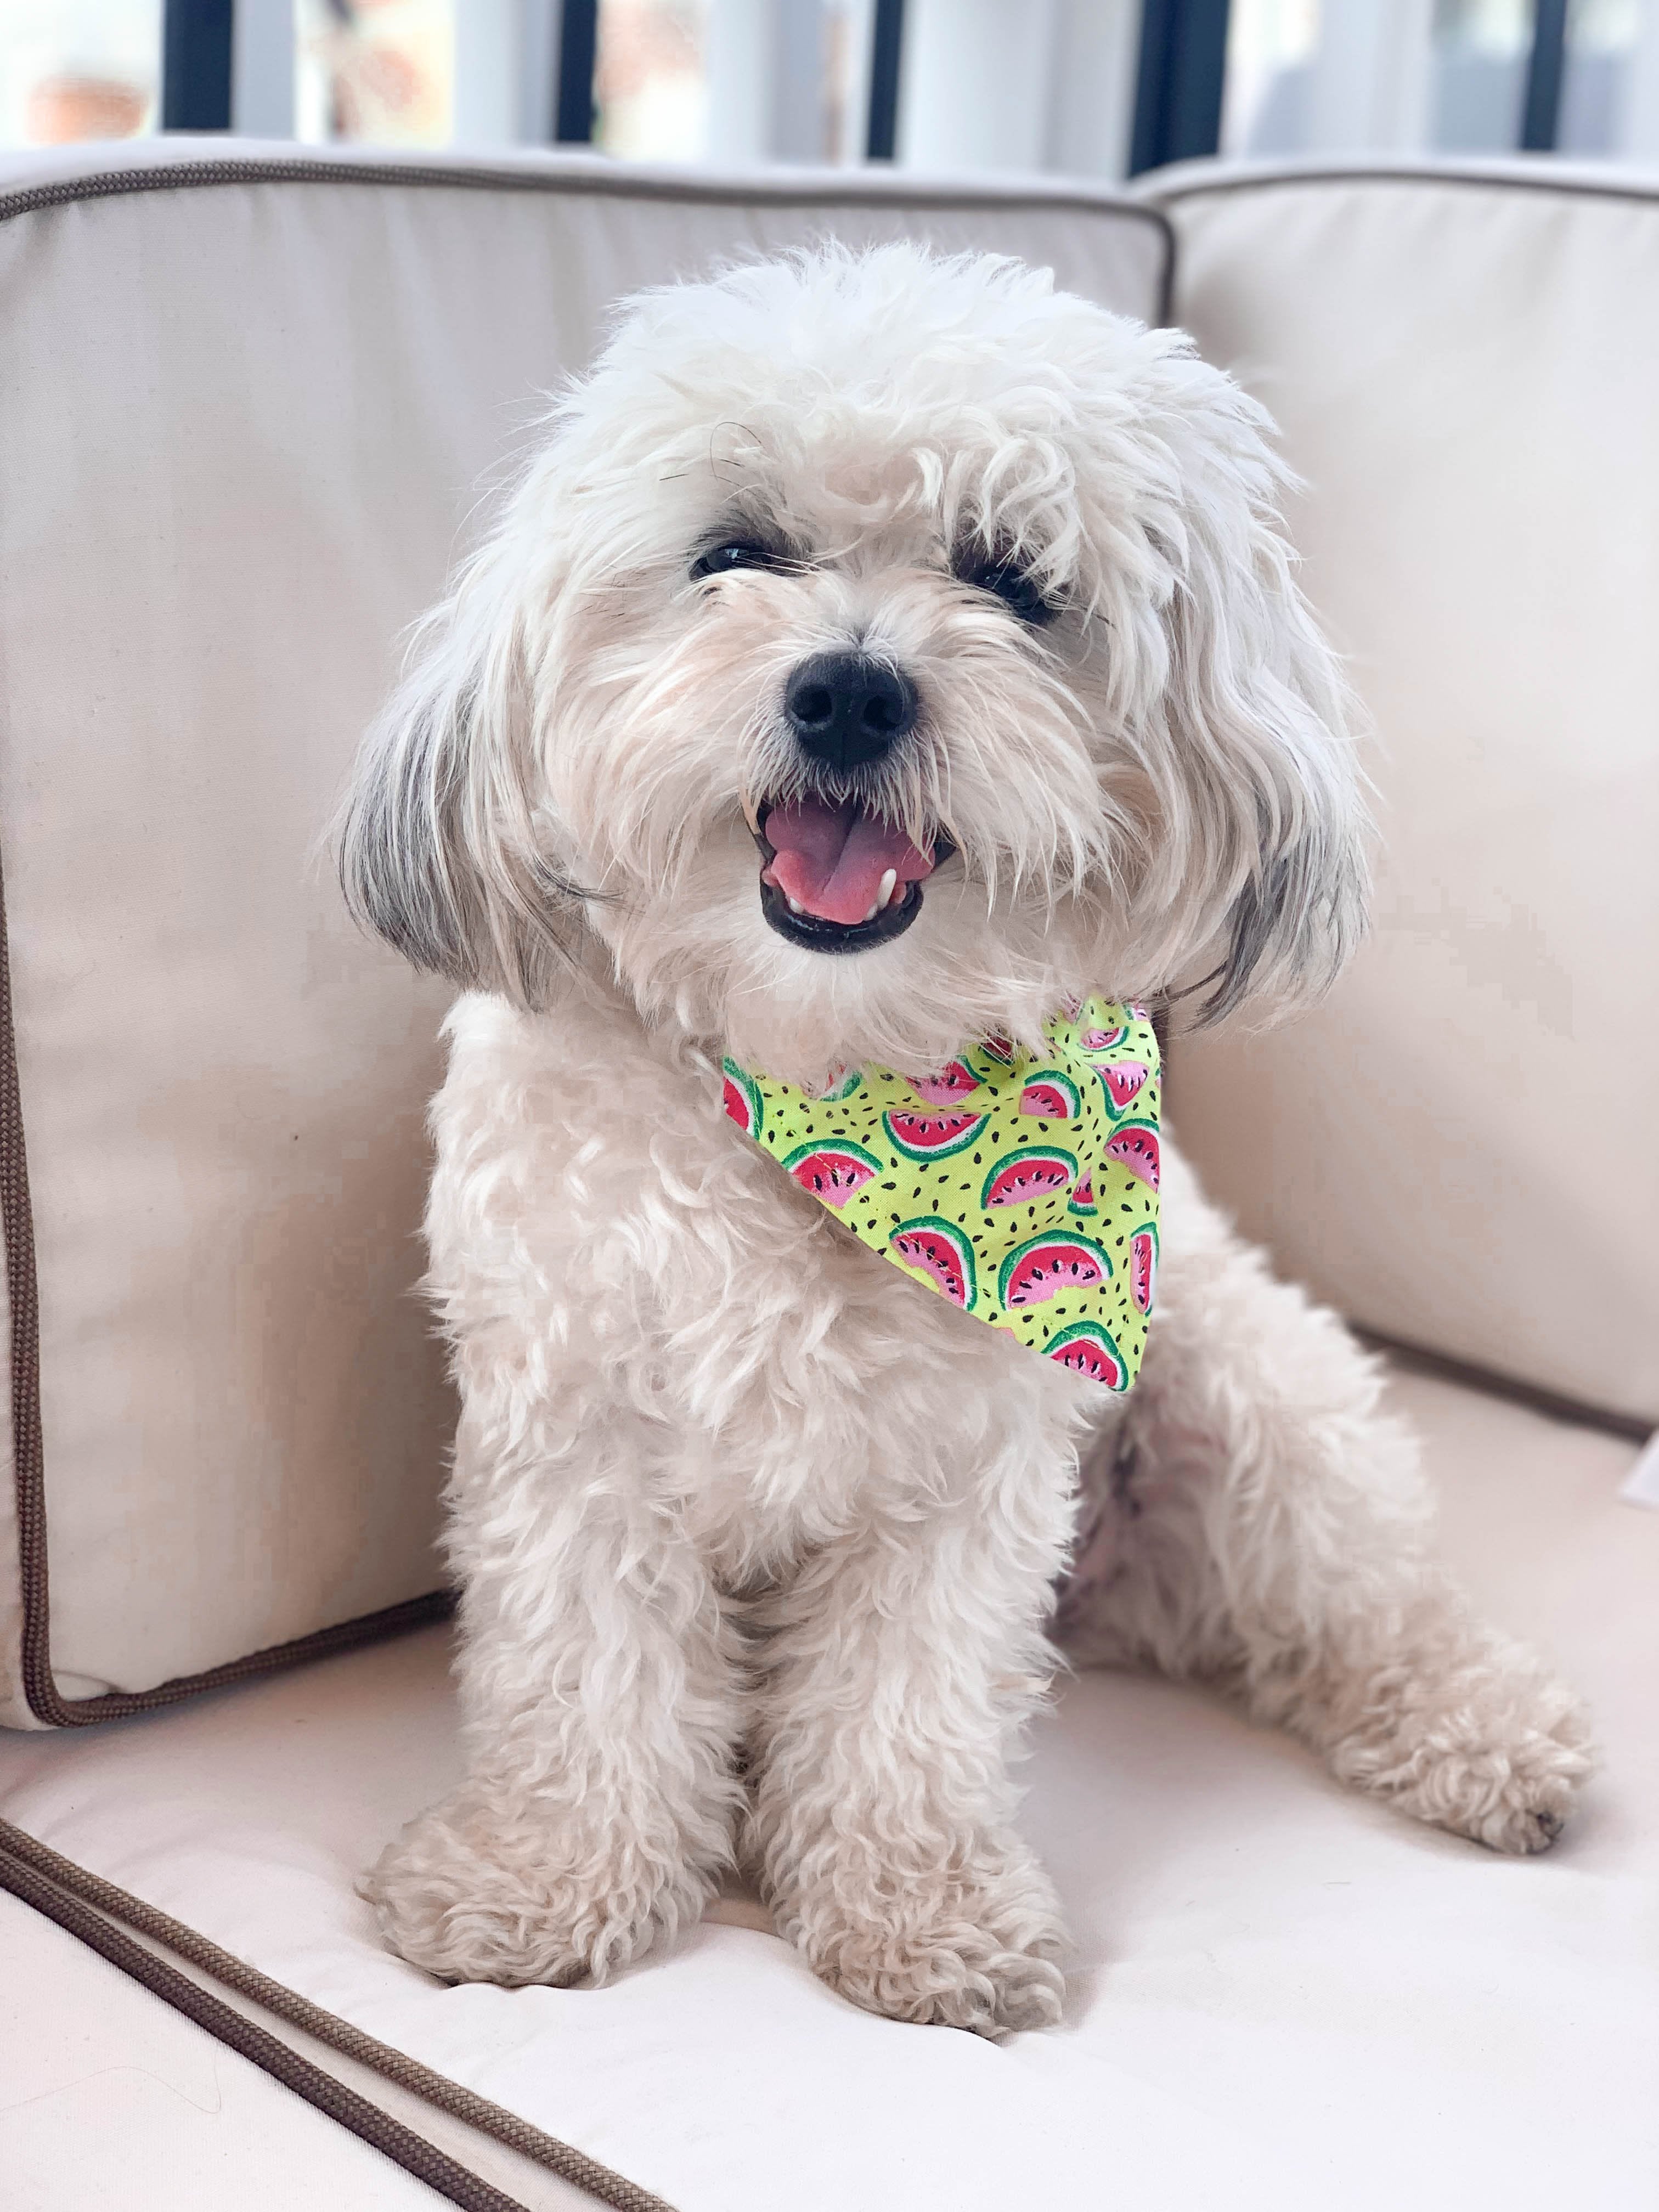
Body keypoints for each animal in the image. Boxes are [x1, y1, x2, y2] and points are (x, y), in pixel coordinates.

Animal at [338, 246, 1601, 2035]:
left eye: (1010, 579)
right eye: (733, 554)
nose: (849, 689)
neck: (832, 1078)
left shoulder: (962, 1473)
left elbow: (903, 1705)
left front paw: (916, 1911)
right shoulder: (577, 1429)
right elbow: (585, 1678)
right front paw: (544, 1879)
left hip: (1256, 1396)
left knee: (1357, 1601)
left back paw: (1481, 1731)